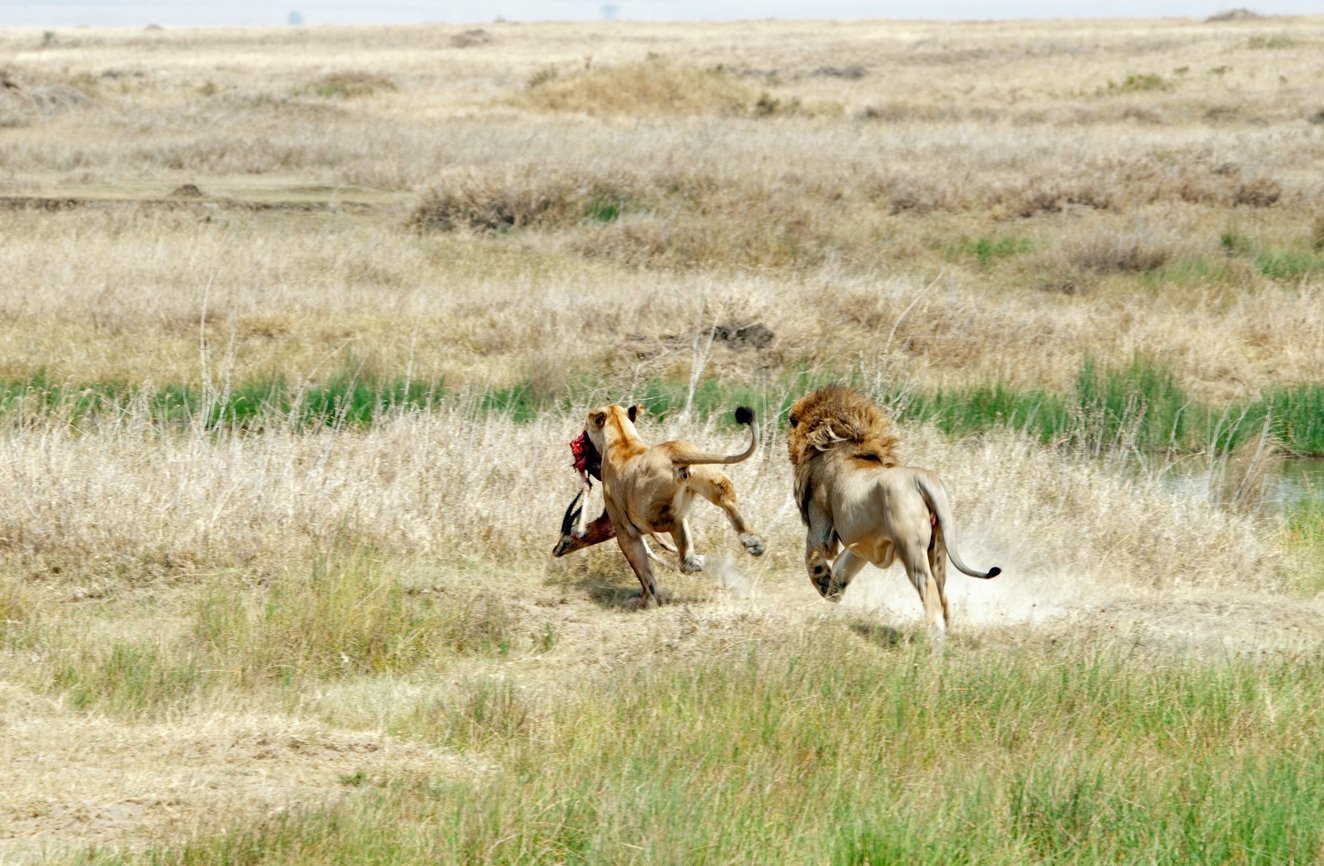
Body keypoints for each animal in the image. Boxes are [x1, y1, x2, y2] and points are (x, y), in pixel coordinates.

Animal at [582, 403, 766, 608]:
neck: (622, 439)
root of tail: (673, 453)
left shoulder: (625, 530)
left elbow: (643, 571)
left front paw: (646, 599)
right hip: (711, 480)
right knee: (725, 500)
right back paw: (752, 542)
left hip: (650, 515)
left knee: (676, 527)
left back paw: (694, 562)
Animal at [787, 384, 1000, 636]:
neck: (840, 442)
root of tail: (922, 478)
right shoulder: (861, 542)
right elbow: (844, 564)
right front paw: (834, 589)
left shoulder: (820, 519)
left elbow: (813, 558)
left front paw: (824, 583)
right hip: (937, 550)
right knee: (942, 592)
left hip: (911, 548)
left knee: (929, 591)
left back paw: (936, 636)